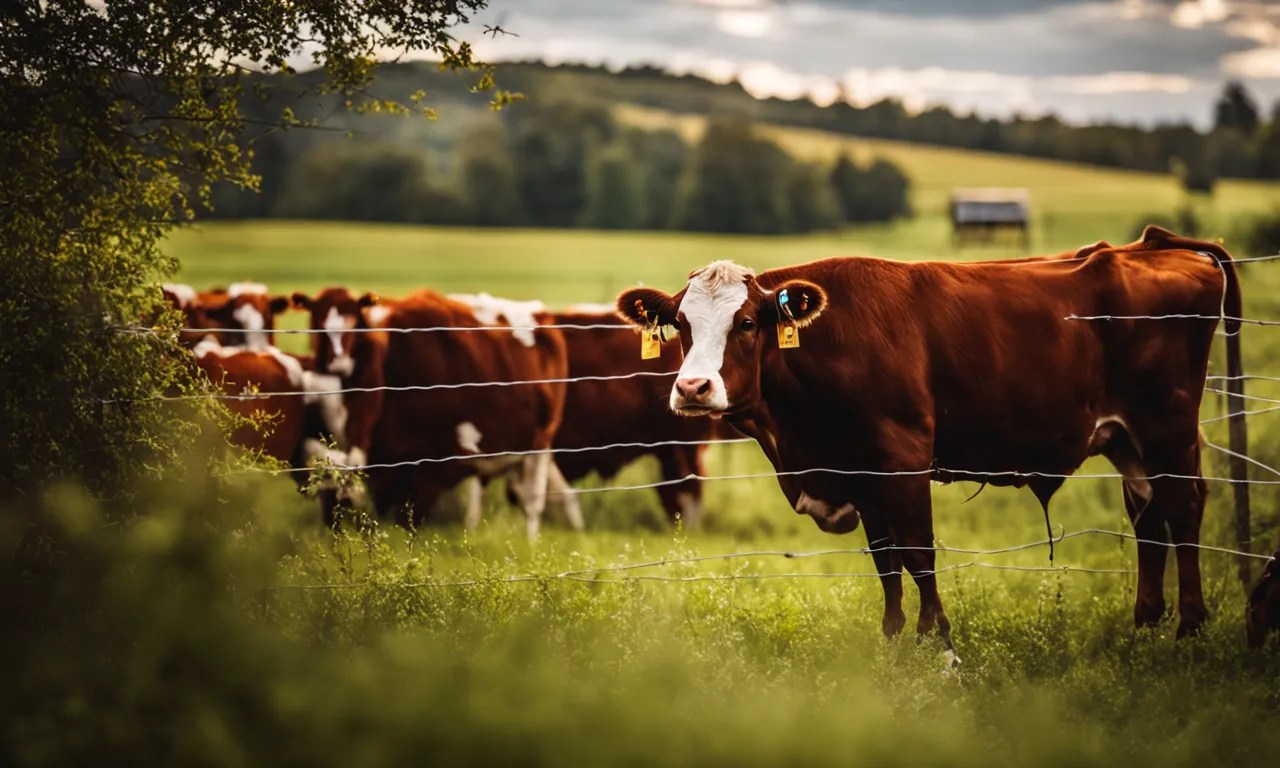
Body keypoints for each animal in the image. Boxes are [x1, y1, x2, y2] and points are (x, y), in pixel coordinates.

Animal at [291, 287, 579, 538]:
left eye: (352, 323)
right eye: (317, 324)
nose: (331, 531)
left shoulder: (436, 465)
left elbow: (409, 522)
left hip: (539, 444)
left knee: (532, 502)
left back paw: (530, 545)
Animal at [615, 225, 1242, 656]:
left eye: (745, 324)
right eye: (682, 325)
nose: (692, 388)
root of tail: (1151, 247)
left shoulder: (903, 457)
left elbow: (918, 554)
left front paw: (938, 644)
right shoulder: (861, 470)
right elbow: (886, 560)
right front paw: (894, 640)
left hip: (1167, 428)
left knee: (1184, 508)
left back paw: (1188, 629)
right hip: (1128, 440)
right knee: (1149, 516)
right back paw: (1145, 625)